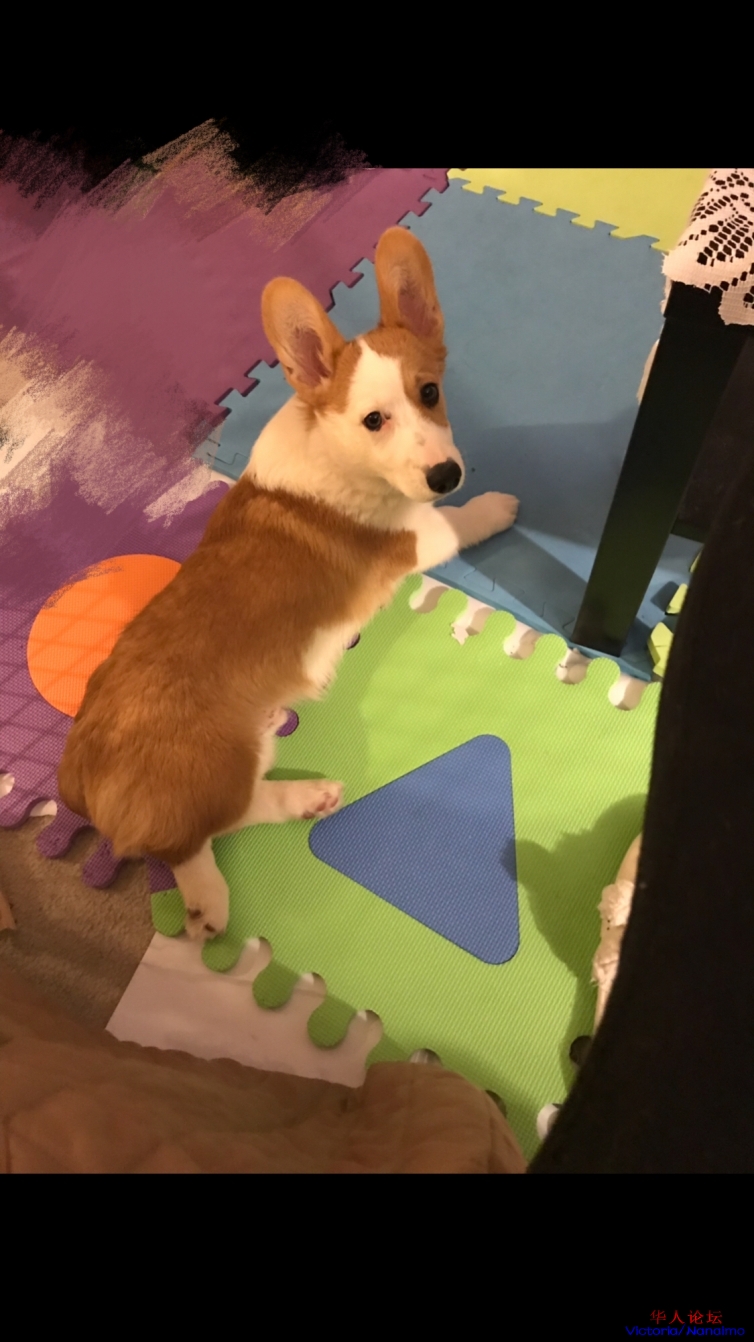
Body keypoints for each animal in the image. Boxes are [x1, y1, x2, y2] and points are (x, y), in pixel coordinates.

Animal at [58, 226, 519, 941]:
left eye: (430, 393)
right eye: (374, 420)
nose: (445, 473)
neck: (332, 450)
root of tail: (78, 777)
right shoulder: (418, 537)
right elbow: (461, 521)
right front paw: (496, 506)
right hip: (222, 768)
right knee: (200, 836)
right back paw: (263, 845)